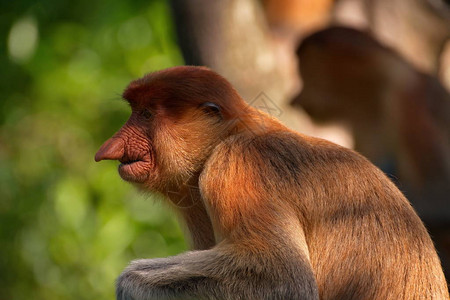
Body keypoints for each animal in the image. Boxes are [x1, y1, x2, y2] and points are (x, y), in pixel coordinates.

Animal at [96, 66, 450, 300]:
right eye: (135, 111)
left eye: (146, 114)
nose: (109, 148)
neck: (228, 135)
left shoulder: (235, 168)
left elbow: (284, 278)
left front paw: (129, 283)